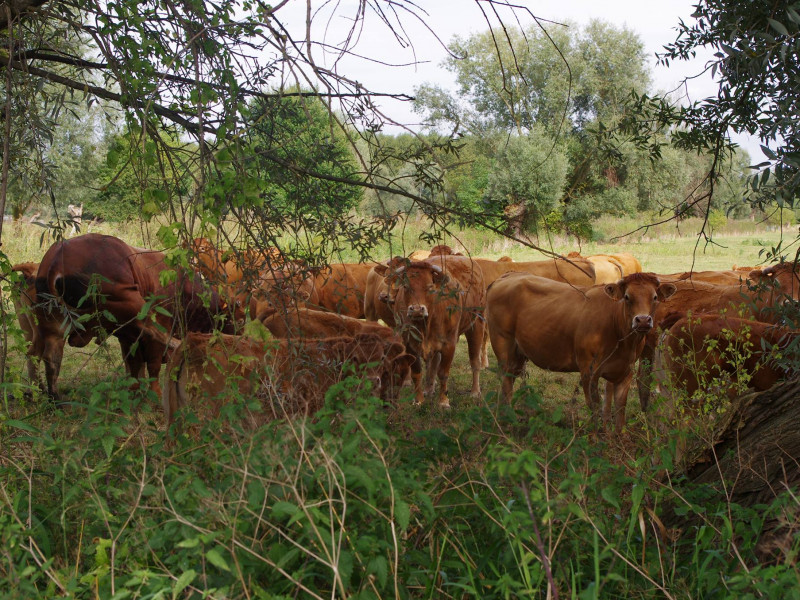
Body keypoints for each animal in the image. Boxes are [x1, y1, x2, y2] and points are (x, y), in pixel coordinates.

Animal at [36, 233, 231, 398]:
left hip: (53, 327)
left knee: (51, 358)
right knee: (155, 334)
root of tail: (56, 261)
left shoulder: (127, 336)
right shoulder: (155, 326)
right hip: (132, 301)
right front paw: (154, 394)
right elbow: (151, 364)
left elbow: (135, 363)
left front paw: (136, 391)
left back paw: (55, 397)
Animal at [488, 272, 676, 432]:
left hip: (518, 355)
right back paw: (506, 422)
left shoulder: (625, 371)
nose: (643, 320)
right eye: (627, 297)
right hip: (503, 344)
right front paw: (596, 438)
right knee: (506, 383)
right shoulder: (588, 370)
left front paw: (619, 439)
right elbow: (593, 404)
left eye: (654, 297)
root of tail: (509, 276)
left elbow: (620, 407)